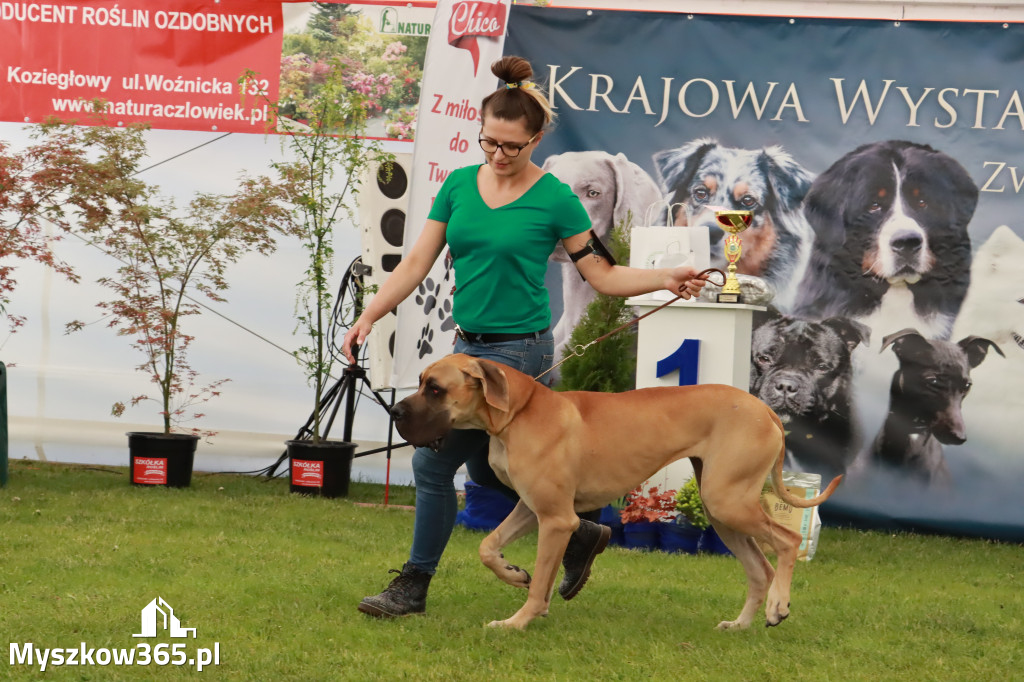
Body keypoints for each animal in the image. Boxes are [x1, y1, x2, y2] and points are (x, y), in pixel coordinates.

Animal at [391, 352, 839, 630]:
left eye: (435, 388)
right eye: (421, 382)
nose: (394, 411)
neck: (519, 411)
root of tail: (764, 409)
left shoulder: (556, 519)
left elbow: (539, 583)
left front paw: (518, 621)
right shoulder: (532, 509)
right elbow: (488, 546)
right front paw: (512, 573)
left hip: (729, 502)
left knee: (787, 540)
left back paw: (779, 606)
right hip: (722, 510)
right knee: (759, 569)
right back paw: (742, 623)